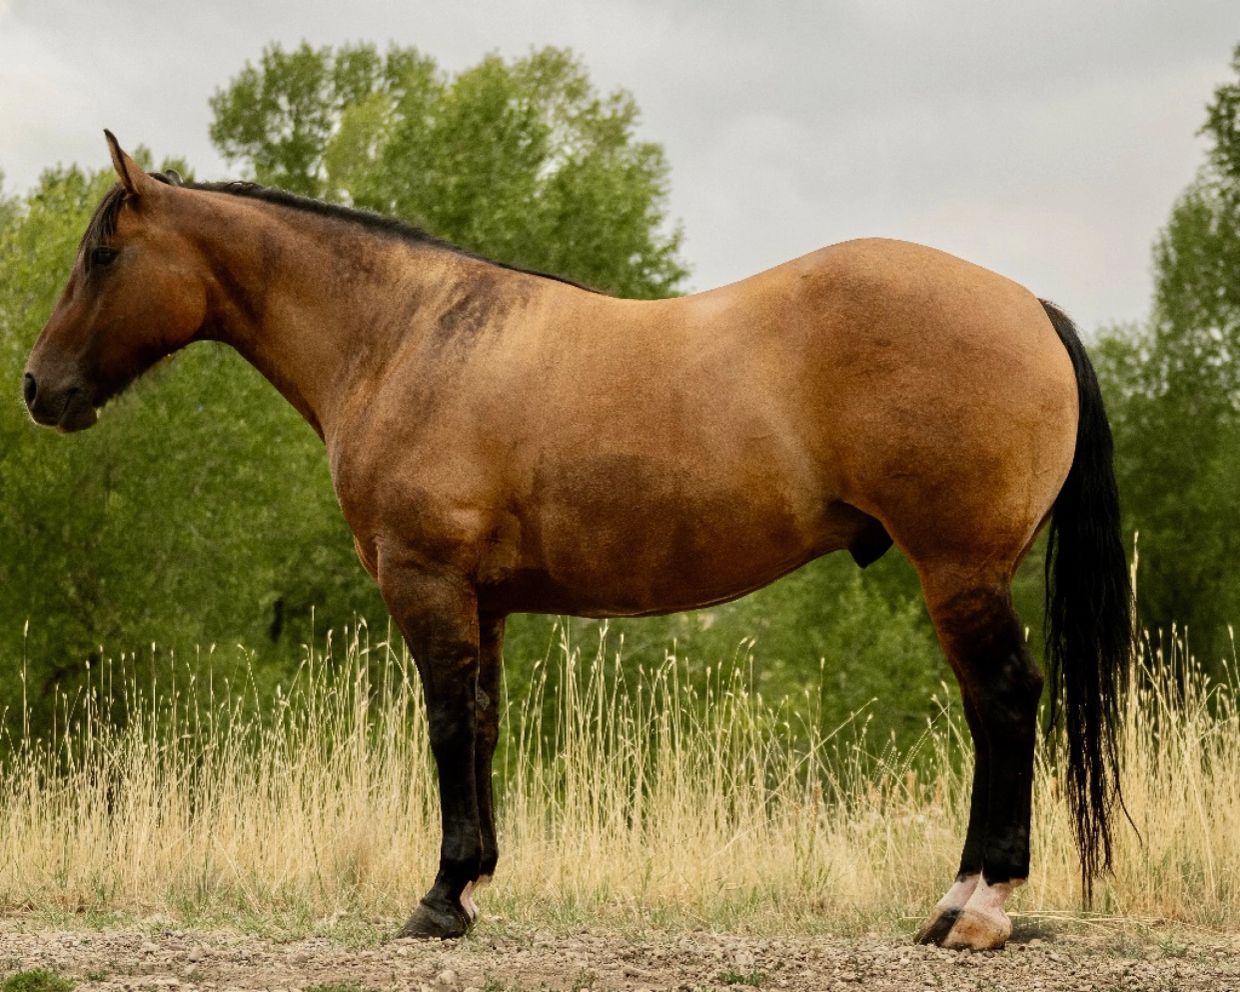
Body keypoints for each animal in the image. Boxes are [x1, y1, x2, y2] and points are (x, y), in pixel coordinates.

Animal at [23, 132, 1133, 951]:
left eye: (103, 255)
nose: (39, 388)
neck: (404, 337)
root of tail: (1028, 304)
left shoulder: (426, 584)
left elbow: (445, 725)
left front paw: (438, 899)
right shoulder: (484, 603)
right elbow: (481, 724)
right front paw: (471, 884)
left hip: (958, 572)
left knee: (1002, 703)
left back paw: (972, 907)